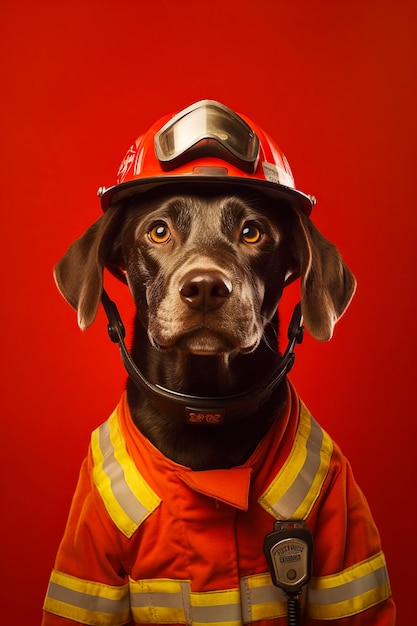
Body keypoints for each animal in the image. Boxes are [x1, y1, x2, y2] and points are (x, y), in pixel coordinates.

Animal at [41, 105, 394, 620]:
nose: (205, 287)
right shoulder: (88, 571)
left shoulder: (345, 557)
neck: (205, 412)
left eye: (252, 231)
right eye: (159, 230)